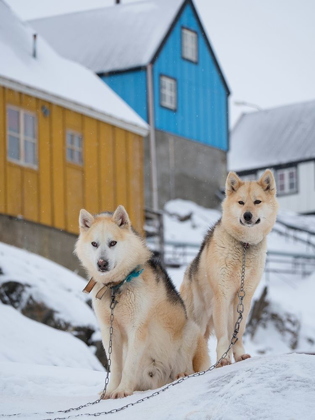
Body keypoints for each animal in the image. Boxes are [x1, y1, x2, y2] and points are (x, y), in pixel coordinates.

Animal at [75, 207, 211, 400]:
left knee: (190, 369)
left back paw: (182, 374)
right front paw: (110, 390)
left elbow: (129, 366)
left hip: (190, 331)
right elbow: (115, 367)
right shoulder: (110, 331)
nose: (102, 263)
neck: (116, 287)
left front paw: (122, 390)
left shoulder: (137, 328)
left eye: (113, 243)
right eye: (94, 244)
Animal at [180, 169, 278, 366]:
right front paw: (223, 359)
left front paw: (239, 355)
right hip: (198, 320)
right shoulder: (222, 296)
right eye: (241, 202)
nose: (247, 215)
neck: (244, 246)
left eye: (257, 201)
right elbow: (224, 336)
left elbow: (238, 333)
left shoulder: (244, 298)